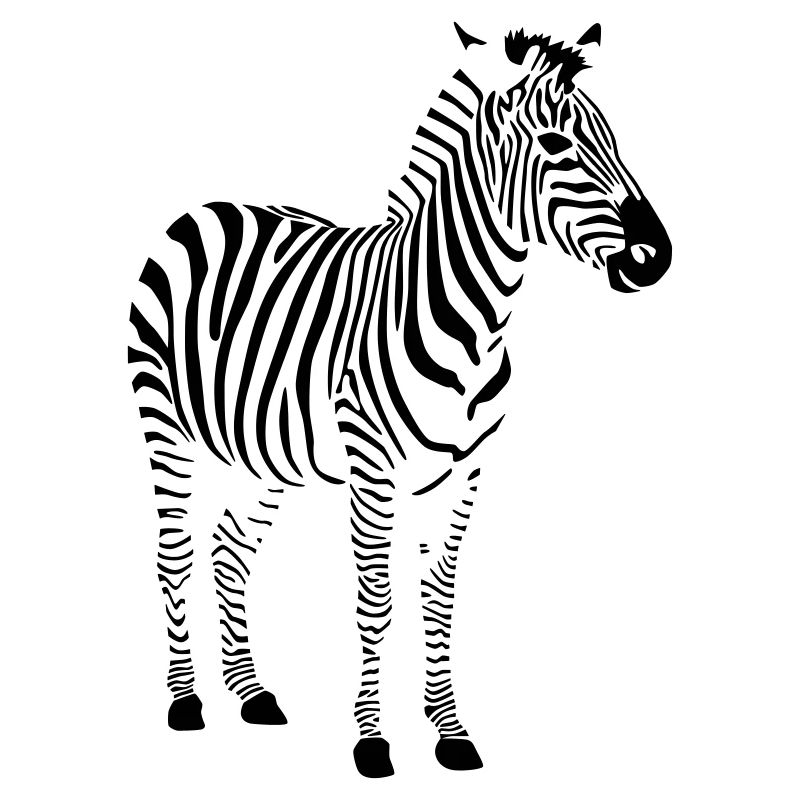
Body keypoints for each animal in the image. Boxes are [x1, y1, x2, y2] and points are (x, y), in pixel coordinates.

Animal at [128, 21, 671, 778]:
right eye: (557, 145)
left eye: (616, 140)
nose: (659, 257)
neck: (475, 325)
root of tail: (203, 207)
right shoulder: (372, 472)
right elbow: (377, 601)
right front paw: (372, 741)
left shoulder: (462, 476)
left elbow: (437, 598)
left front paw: (450, 732)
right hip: (163, 426)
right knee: (174, 551)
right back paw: (186, 702)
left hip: (267, 456)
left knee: (229, 548)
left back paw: (252, 693)